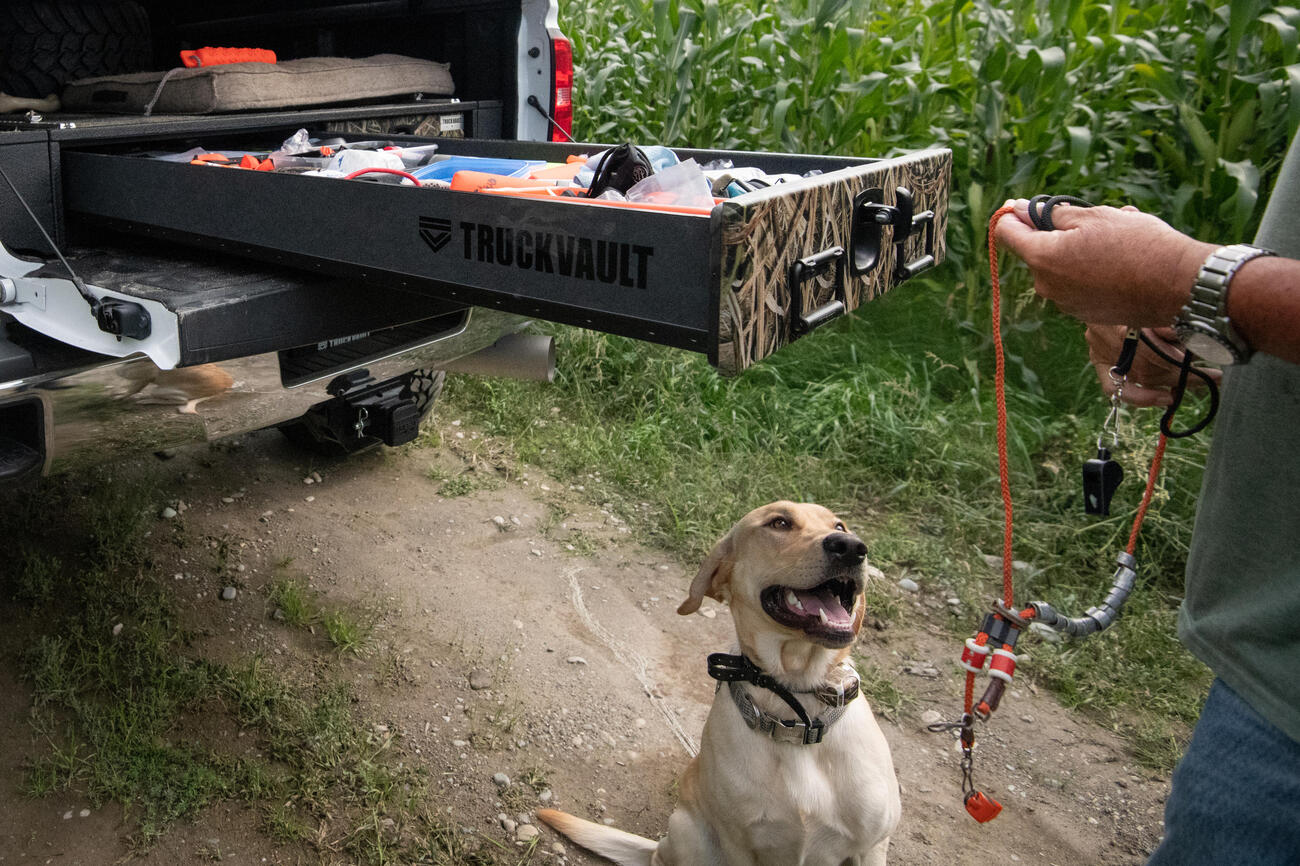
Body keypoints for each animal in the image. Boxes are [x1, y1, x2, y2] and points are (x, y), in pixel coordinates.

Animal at [535, 499, 894, 863]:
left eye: (840, 526)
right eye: (779, 523)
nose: (852, 548)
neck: (796, 711)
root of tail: (659, 843)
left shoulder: (872, 847)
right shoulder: (739, 846)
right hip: (689, 832)